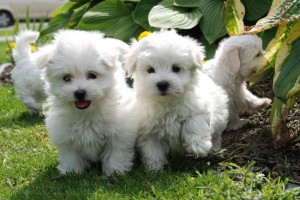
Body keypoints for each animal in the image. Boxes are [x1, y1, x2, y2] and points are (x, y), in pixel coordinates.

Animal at [35, 28, 137, 176]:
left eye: (92, 75)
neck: (87, 114)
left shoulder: (119, 134)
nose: (79, 93)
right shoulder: (65, 135)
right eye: (66, 78)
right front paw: (71, 171)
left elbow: (116, 152)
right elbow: (70, 154)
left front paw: (115, 171)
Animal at [125, 29, 229, 170]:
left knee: (217, 135)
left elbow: (194, 123)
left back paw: (215, 150)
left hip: (220, 115)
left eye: (176, 68)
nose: (162, 84)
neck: (168, 101)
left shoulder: (199, 108)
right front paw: (154, 168)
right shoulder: (148, 130)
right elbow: (152, 149)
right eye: (150, 70)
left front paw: (199, 146)